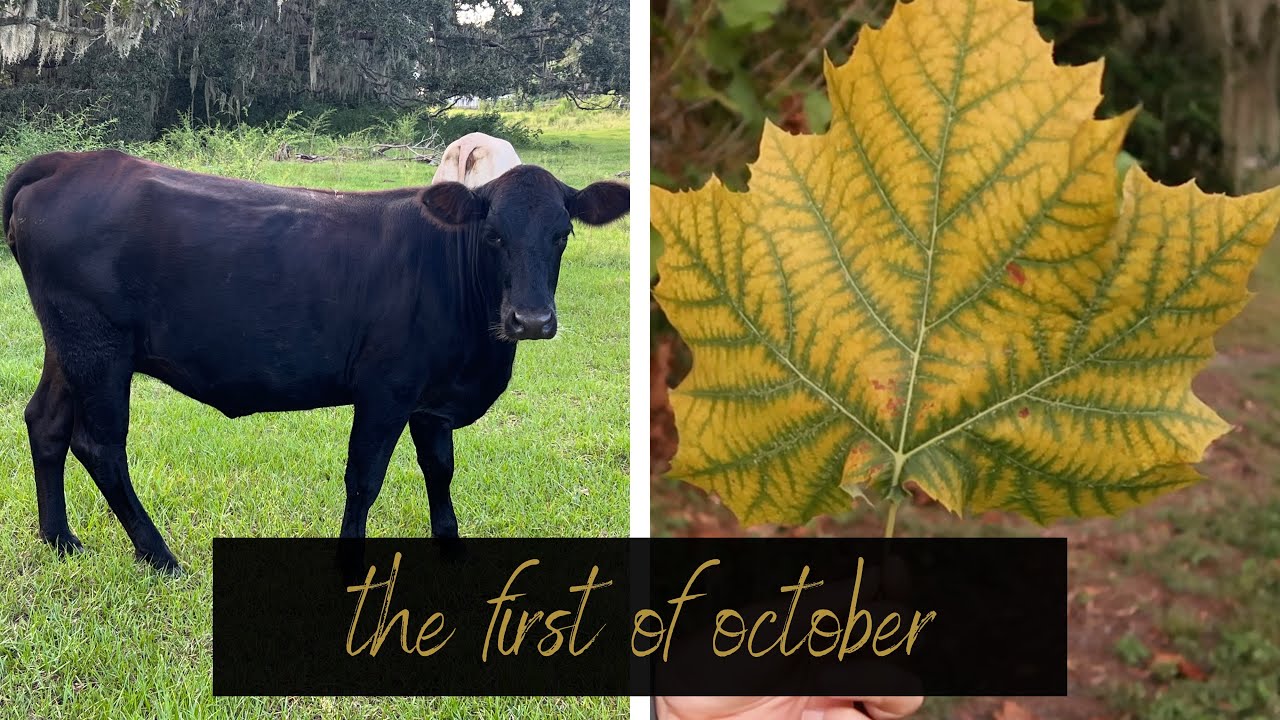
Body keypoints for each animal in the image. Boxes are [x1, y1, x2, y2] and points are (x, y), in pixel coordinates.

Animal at [2, 149, 629, 573]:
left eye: (563, 233)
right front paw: (350, 562)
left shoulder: (431, 401)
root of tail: (70, 163)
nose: (532, 319)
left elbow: (440, 470)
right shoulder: (386, 389)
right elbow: (364, 478)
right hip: (99, 348)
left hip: (69, 345)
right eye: (493, 234)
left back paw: (60, 540)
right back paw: (159, 555)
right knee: (100, 445)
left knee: (45, 423)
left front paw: (450, 549)